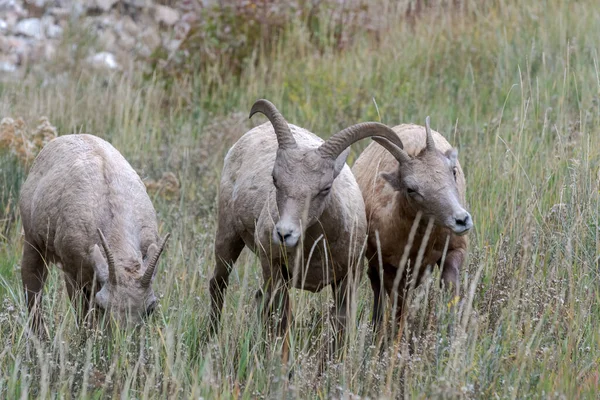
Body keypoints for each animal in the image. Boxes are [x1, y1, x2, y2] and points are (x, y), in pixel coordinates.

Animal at [210, 98, 404, 358]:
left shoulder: (349, 278)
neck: (317, 248)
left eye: (325, 188)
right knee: (218, 284)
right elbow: (282, 323)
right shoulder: (276, 270)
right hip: (228, 237)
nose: (284, 234)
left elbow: (341, 327)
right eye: (275, 180)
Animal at [352, 117, 474, 330]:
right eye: (411, 189)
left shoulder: (453, 251)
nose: (461, 220)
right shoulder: (390, 269)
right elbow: (399, 308)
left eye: (453, 171)